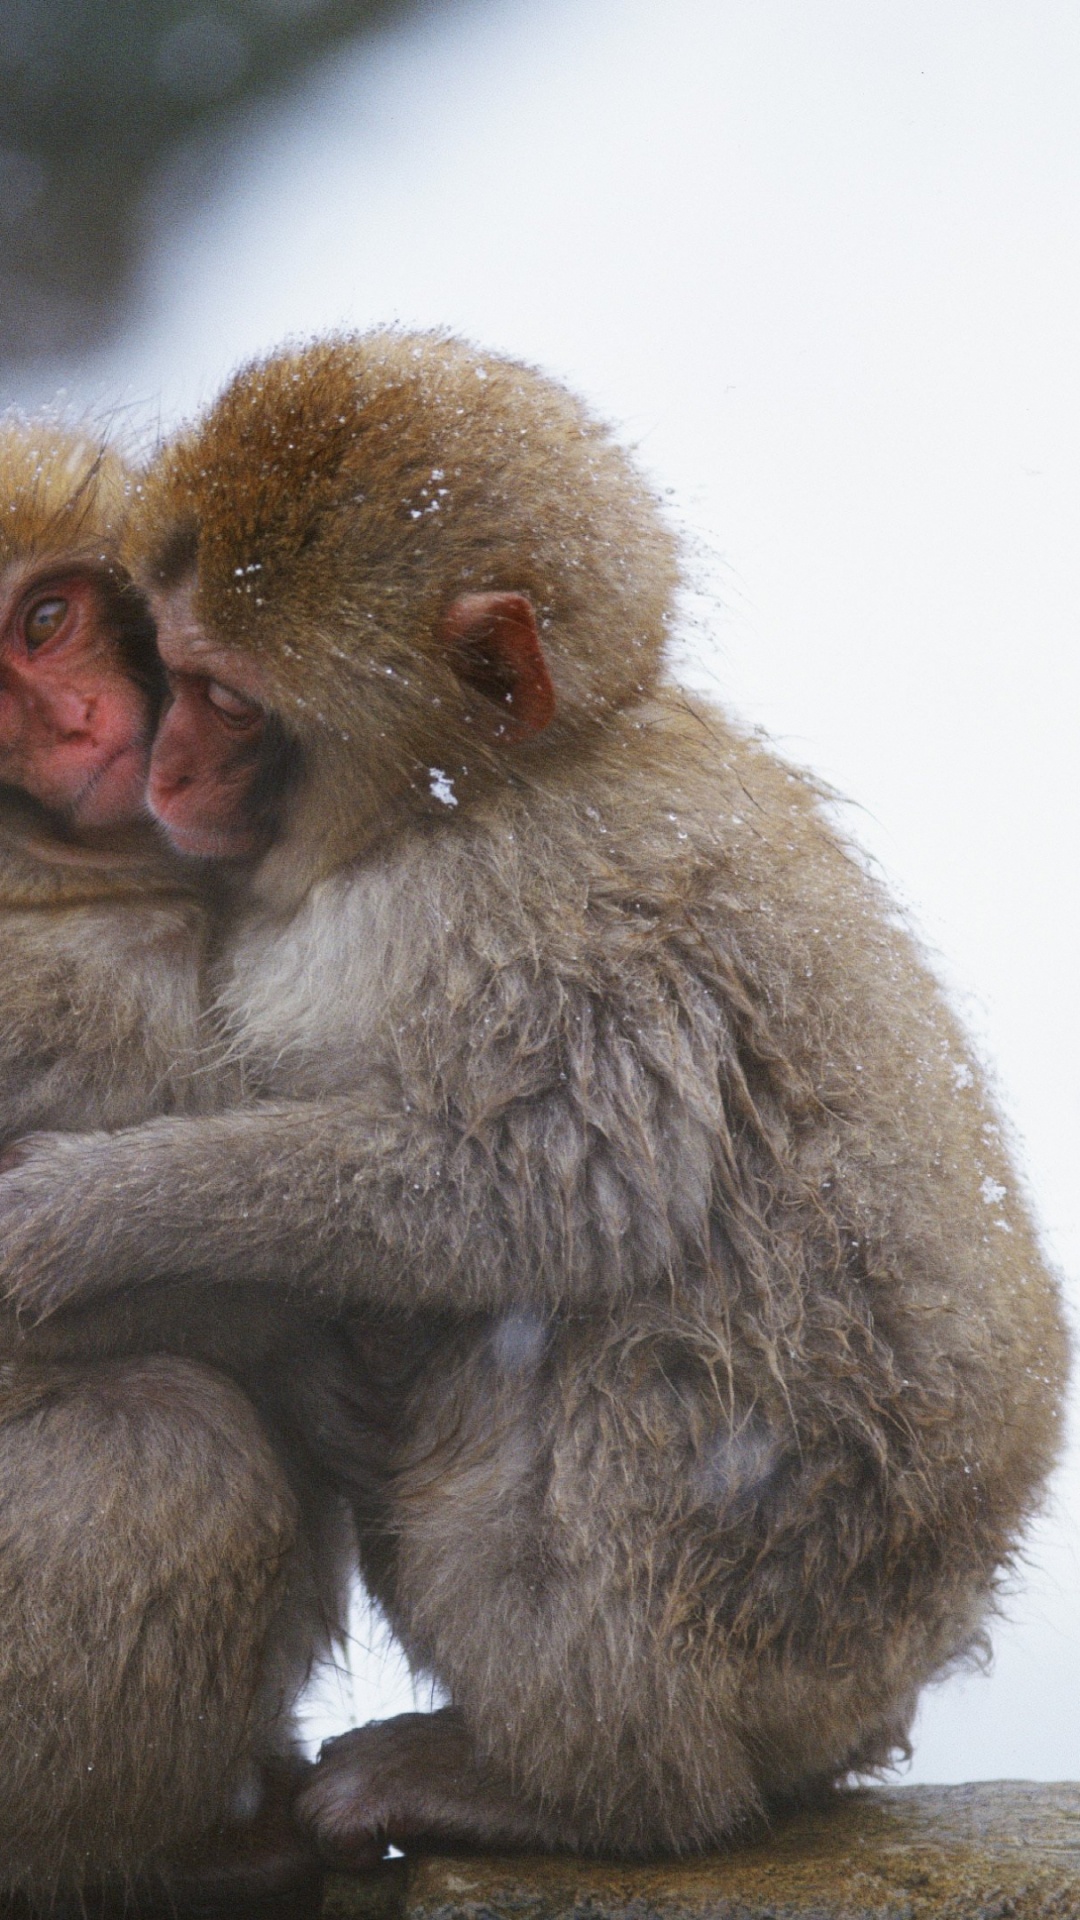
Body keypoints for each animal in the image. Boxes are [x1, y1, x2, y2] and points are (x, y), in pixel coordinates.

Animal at [0, 334, 1066, 1872]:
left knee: (556, 1369)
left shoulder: (543, 913)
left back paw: (584, 1794)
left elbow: (551, 1185)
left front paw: (88, 1216)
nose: (161, 764)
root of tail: (878, 1687)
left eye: (229, 699)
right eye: (172, 666)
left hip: (741, 1598)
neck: (481, 794)